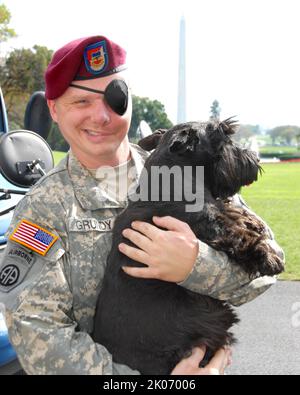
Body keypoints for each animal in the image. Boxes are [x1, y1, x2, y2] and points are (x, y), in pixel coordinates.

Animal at [92, 117, 284, 374]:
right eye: (223, 137)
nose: (256, 159)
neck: (177, 176)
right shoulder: (210, 223)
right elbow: (238, 235)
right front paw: (269, 258)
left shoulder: (215, 205)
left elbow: (232, 211)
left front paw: (253, 222)